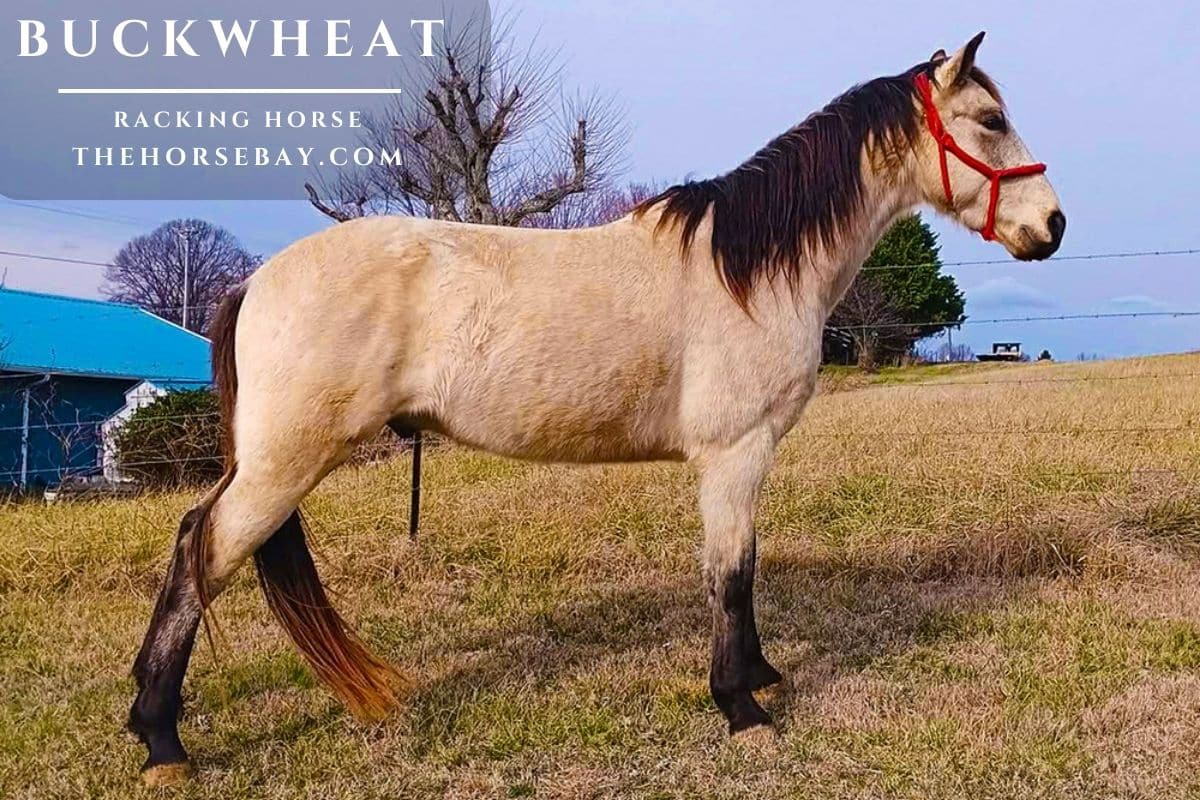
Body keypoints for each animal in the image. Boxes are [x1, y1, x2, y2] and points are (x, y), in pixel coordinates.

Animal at [128, 32, 1064, 785]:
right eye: (988, 119)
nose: (1051, 226)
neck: (747, 270)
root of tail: (256, 279)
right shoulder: (735, 451)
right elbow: (730, 573)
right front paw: (742, 709)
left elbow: (746, 566)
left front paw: (762, 676)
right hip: (285, 461)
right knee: (201, 553)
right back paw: (162, 742)